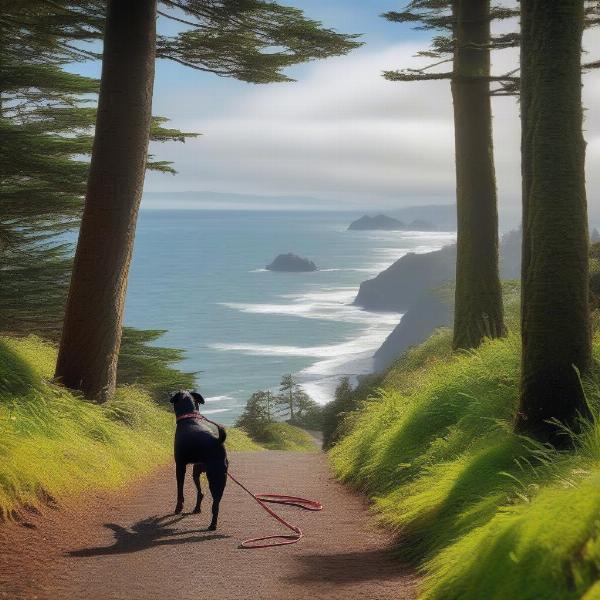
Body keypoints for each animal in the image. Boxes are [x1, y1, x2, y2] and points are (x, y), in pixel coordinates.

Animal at [170, 392, 229, 532]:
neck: (189, 417)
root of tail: (218, 441)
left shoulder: (180, 465)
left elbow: (180, 490)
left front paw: (178, 507)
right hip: (205, 474)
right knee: (204, 494)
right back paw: (197, 509)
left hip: (214, 477)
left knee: (214, 505)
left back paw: (212, 525)